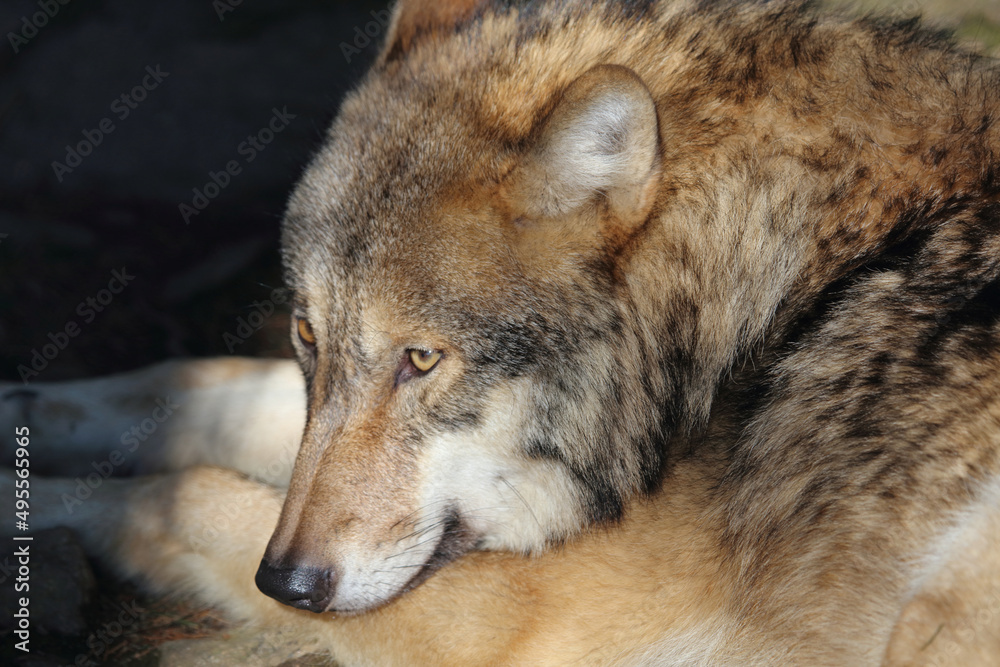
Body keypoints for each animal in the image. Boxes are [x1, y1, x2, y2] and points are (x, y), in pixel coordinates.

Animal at [3, 0, 1000, 663]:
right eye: (306, 336)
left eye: (422, 359)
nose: (289, 583)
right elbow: (193, 384)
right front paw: (23, 409)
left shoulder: (529, 612)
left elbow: (187, 492)